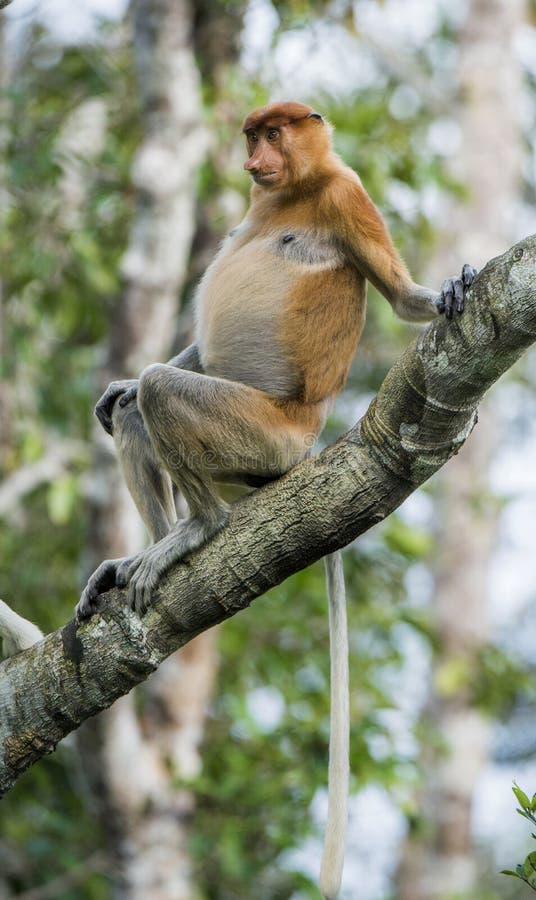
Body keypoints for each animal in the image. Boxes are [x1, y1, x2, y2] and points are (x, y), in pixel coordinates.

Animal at [1, 102, 478, 896]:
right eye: (252, 136)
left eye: (275, 133)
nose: (256, 159)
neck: (293, 194)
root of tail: (305, 447)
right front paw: (114, 387)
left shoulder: (346, 195)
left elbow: (403, 296)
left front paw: (450, 291)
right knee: (139, 406)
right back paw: (138, 545)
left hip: (258, 437)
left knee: (164, 393)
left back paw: (199, 529)